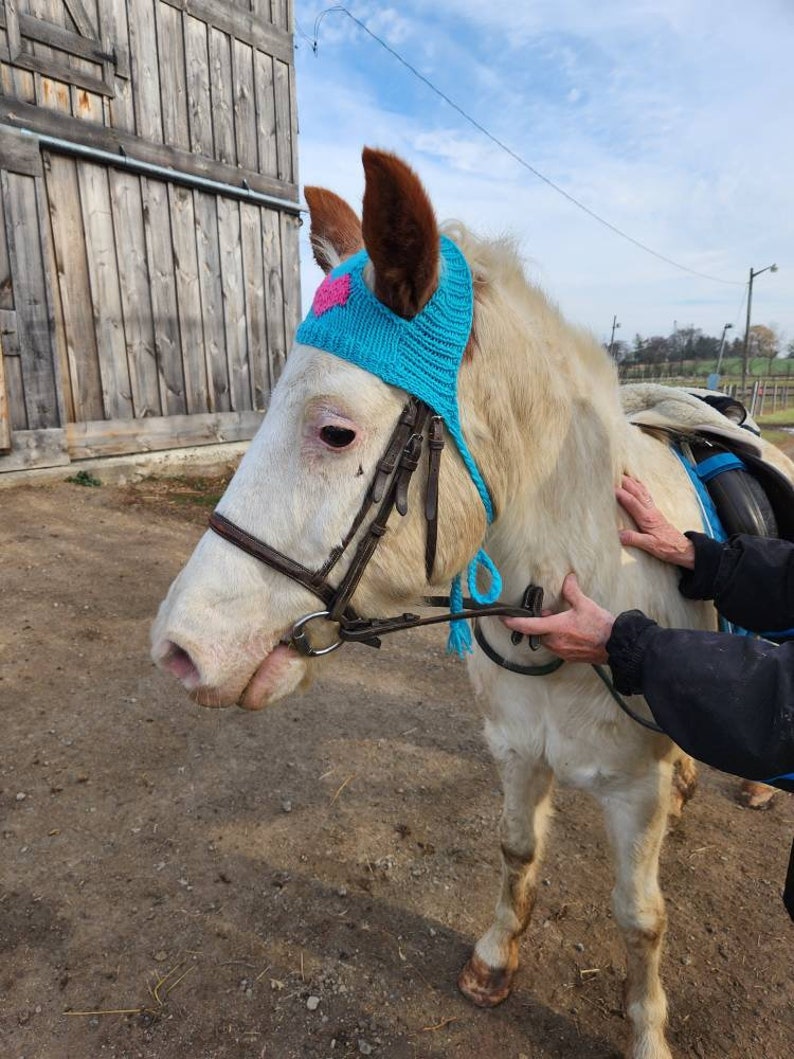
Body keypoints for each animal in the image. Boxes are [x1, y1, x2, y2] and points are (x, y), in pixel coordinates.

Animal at [151, 148, 792, 1059]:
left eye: (336, 431)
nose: (180, 648)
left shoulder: (631, 793)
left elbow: (640, 918)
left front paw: (647, 1032)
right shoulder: (517, 752)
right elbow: (516, 850)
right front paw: (495, 958)